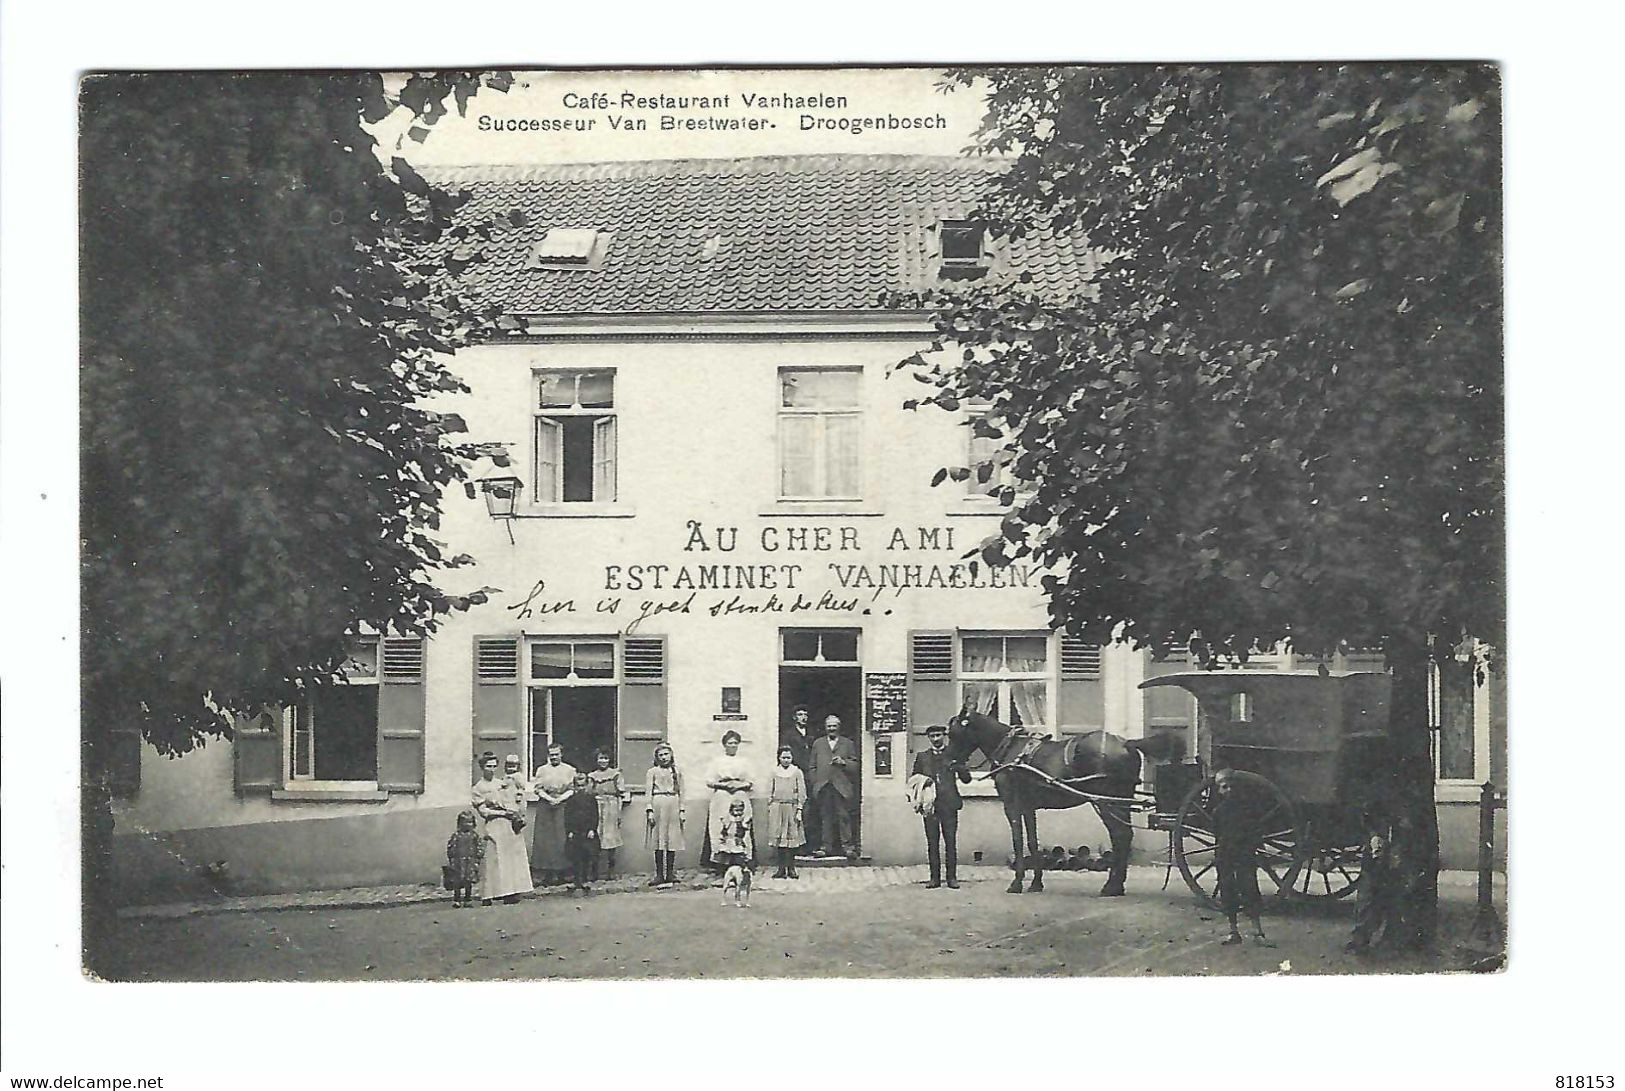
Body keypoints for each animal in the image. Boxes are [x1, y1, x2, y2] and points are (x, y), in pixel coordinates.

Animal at [949, 708, 1176, 897]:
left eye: (953, 733)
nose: (952, 765)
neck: (1011, 749)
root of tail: (1126, 743)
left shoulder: (1012, 805)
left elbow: (1018, 840)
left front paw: (1017, 883)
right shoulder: (1028, 807)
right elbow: (1032, 842)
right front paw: (1036, 884)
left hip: (1106, 803)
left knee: (1121, 835)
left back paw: (1111, 886)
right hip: (1117, 802)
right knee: (1123, 836)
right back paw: (1116, 885)